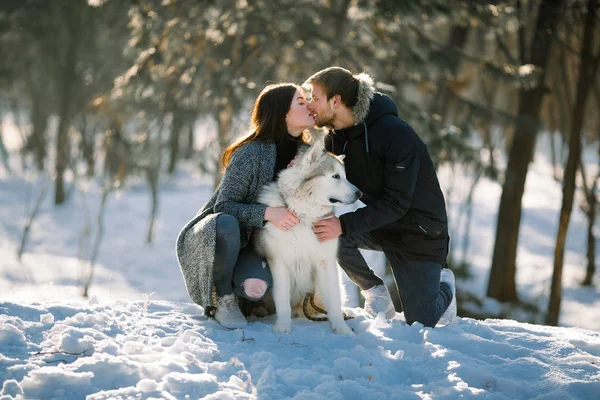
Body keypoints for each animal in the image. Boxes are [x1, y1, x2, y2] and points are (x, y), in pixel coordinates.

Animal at [252, 142, 360, 332]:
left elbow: (334, 302)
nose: (359, 193)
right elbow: (282, 299)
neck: (304, 215)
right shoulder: (279, 263)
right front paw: (283, 327)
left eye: (345, 177)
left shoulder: (326, 263)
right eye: (335, 176)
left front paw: (342, 330)